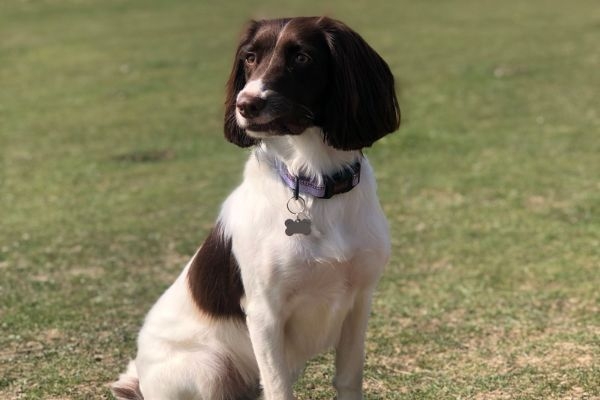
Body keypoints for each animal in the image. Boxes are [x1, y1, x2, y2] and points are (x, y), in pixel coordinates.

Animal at [112, 15, 404, 400]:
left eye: (302, 58)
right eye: (249, 58)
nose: (245, 103)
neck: (314, 182)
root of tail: (139, 377)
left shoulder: (359, 301)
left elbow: (348, 378)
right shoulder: (264, 312)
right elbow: (279, 388)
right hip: (208, 366)